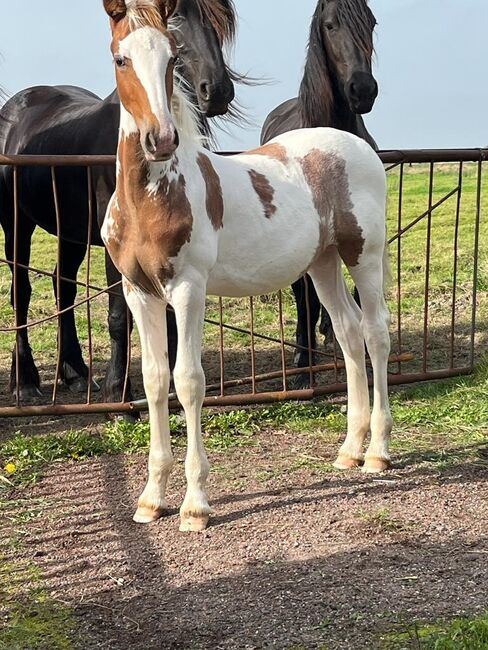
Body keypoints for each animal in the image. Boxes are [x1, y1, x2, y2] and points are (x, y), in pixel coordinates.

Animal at [0, 0, 236, 402]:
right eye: (179, 17)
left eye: (219, 22)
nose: (216, 91)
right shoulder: (119, 245)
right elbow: (118, 315)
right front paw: (117, 390)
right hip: (17, 222)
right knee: (22, 292)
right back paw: (26, 381)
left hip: (70, 232)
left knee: (63, 285)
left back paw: (75, 373)